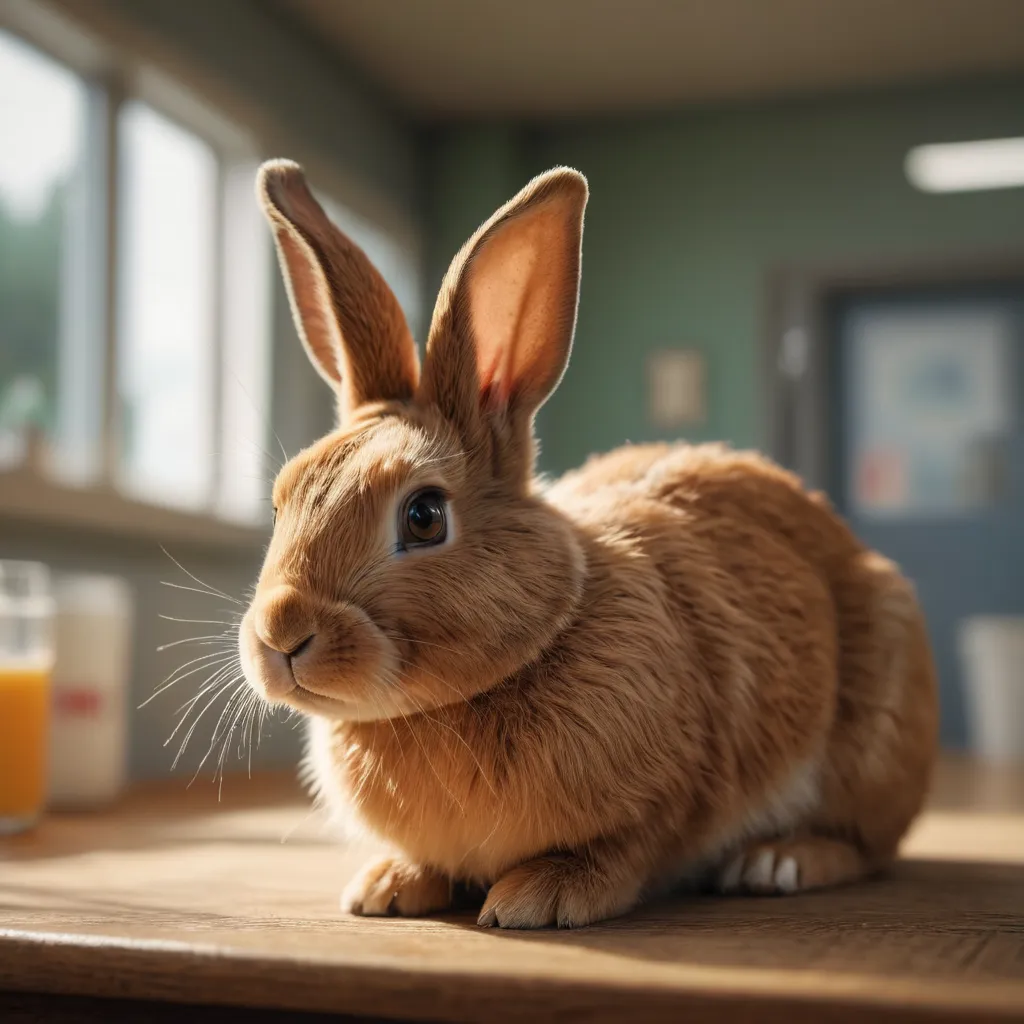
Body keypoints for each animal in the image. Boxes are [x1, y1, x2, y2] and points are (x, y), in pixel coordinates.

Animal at [238, 158, 939, 929]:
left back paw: (778, 862)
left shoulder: (674, 789)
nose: (281, 634)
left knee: (866, 845)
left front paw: (539, 896)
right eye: (282, 500)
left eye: (424, 516)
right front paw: (388, 886)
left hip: (876, 735)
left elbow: (630, 847)